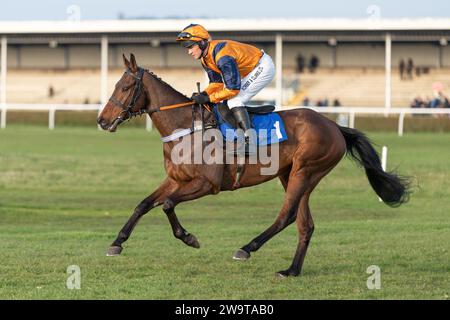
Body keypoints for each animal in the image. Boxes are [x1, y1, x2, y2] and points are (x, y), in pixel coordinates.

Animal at [96, 53, 410, 276]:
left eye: (125, 86)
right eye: (116, 85)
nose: (101, 120)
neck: (187, 126)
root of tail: (334, 125)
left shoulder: (206, 184)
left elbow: (168, 205)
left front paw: (189, 237)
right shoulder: (176, 180)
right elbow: (144, 204)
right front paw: (117, 242)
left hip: (305, 171)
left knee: (286, 216)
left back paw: (247, 248)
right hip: (292, 175)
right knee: (304, 224)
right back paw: (291, 270)